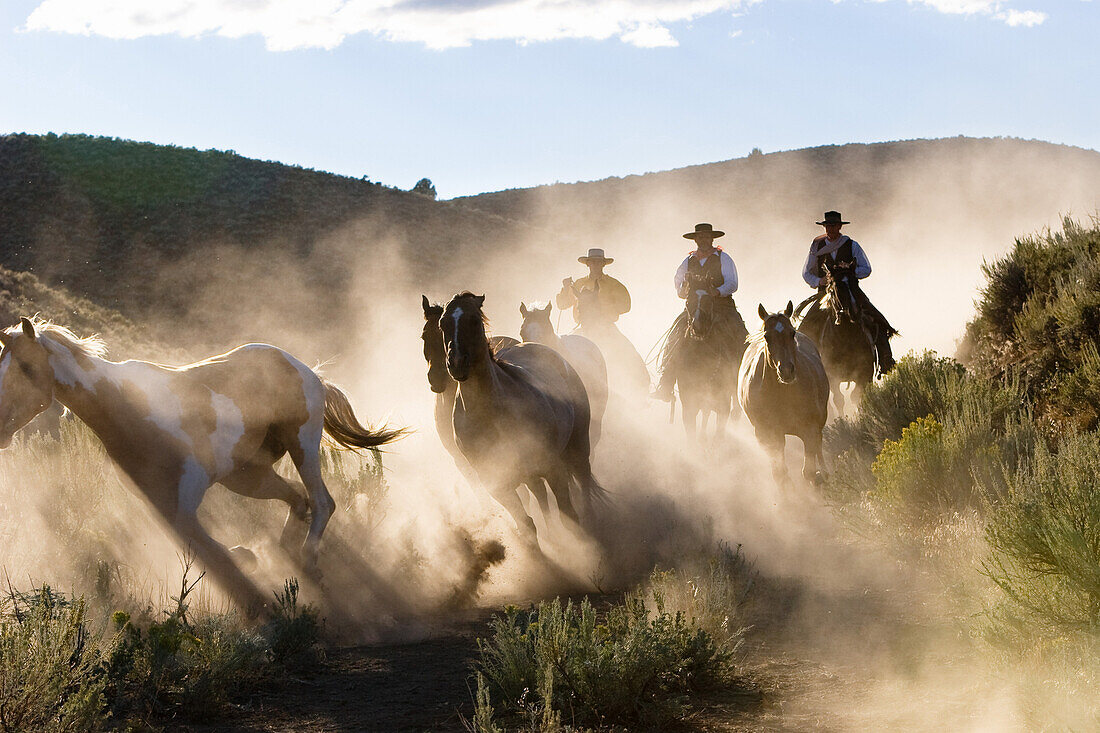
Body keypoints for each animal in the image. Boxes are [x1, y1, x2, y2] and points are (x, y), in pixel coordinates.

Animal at [0, 316, 402, 607]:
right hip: (247, 476)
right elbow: (218, 557)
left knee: (321, 502)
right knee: (297, 499)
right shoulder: (166, 511)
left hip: (301, 443)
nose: (1, 428)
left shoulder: (183, 505)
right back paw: (288, 557)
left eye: (26, 366)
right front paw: (250, 561)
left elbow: (223, 563)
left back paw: (308, 564)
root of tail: (305, 368)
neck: (129, 410)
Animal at [734, 299, 827, 488]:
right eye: (767, 337)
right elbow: (780, 473)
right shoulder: (768, 435)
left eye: (792, 333)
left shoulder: (809, 429)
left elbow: (809, 472)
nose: (786, 371)